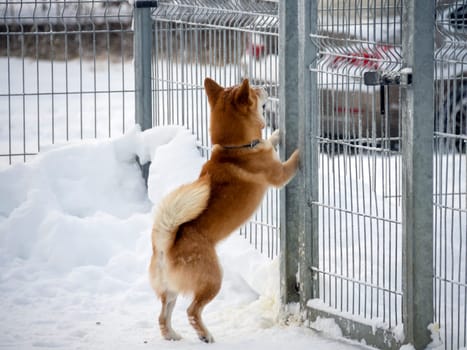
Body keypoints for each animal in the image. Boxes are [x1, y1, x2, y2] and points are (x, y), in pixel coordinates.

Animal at [150, 78, 300, 344]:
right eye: (254, 93)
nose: (264, 87)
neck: (235, 148)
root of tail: (165, 244)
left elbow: (269, 141)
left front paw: (276, 134)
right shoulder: (279, 174)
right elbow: (291, 162)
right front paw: (302, 147)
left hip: (170, 291)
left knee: (163, 314)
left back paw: (172, 335)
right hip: (213, 280)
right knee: (192, 311)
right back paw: (204, 335)